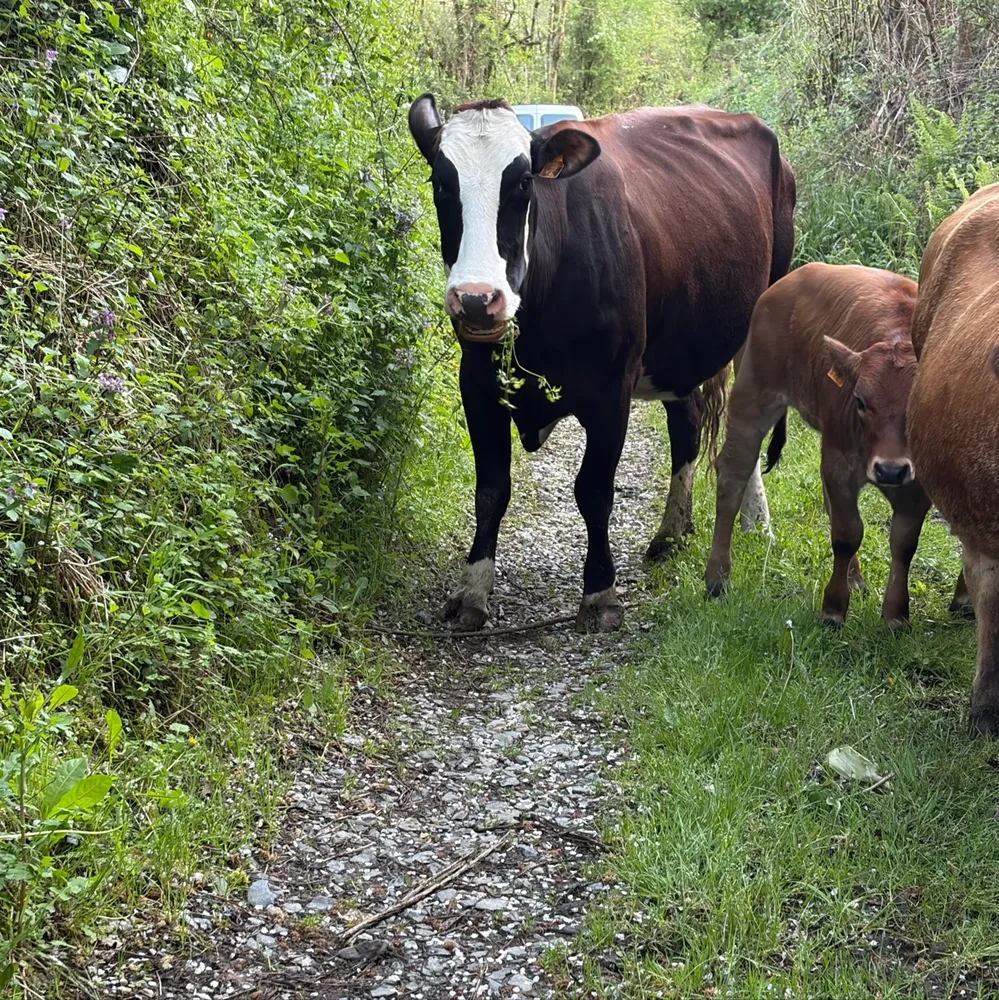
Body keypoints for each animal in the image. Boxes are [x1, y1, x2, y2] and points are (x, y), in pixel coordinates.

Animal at [408, 94, 796, 631]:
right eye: (441, 182)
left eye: (523, 182)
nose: (476, 299)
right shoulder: (479, 385)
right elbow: (490, 490)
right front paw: (473, 590)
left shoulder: (611, 392)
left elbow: (593, 490)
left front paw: (600, 593)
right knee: (687, 427)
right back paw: (672, 531)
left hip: (761, 313)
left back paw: (757, 523)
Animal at [704, 262, 948, 627]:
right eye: (860, 401)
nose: (890, 470)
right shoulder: (839, 462)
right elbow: (847, 534)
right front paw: (833, 608)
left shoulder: (917, 483)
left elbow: (904, 543)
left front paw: (895, 615)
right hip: (753, 397)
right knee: (733, 475)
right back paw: (718, 577)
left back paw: (855, 578)